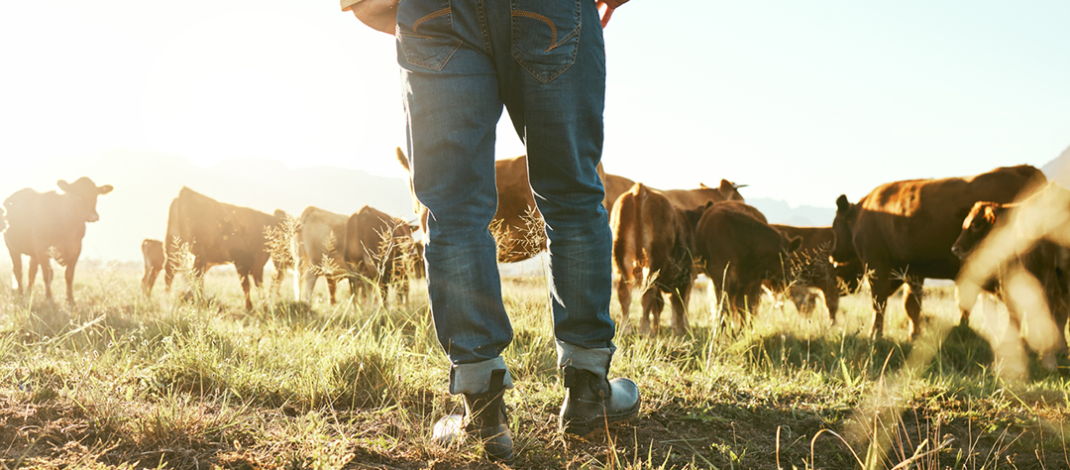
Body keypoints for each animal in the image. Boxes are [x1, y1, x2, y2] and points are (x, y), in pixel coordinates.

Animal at [610, 183, 708, 335]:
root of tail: (640, 188)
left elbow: (661, 305)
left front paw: (658, 330)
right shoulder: (684, 276)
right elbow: (679, 304)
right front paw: (681, 330)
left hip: (621, 260)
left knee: (624, 293)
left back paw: (626, 329)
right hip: (653, 263)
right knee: (647, 294)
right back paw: (644, 330)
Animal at [832, 165, 1047, 339]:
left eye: (834, 226)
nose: (833, 255)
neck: (860, 215)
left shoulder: (876, 266)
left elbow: (879, 303)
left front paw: (874, 335)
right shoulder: (913, 271)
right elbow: (912, 305)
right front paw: (914, 335)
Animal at [954, 184, 1070, 368]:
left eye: (976, 224)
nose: (955, 248)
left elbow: (1016, 313)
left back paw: (1049, 360)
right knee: (1061, 309)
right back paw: (1061, 352)